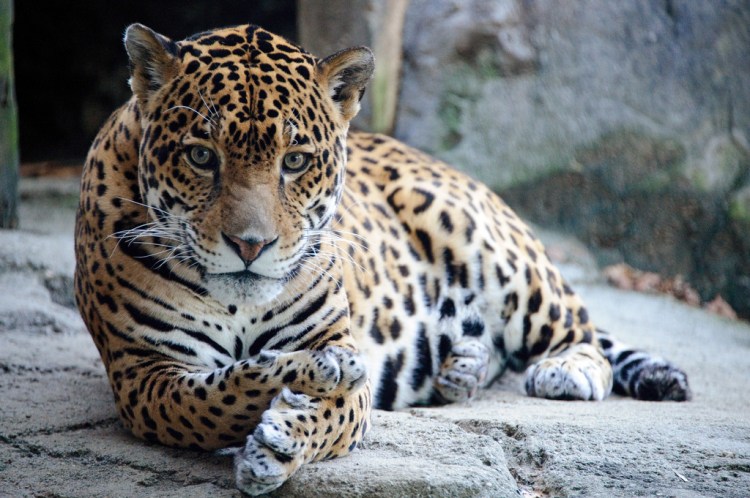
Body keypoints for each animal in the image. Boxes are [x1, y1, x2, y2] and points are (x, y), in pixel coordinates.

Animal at [74, 23, 691, 496]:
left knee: (579, 328)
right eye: (201, 156)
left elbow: (328, 407)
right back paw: (462, 367)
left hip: (484, 243)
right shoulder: (143, 374)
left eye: (295, 162)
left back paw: (565, 370)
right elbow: (215, 398)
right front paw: (306, 375)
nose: (251, 246)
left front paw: (282, 439)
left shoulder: (335, 347)